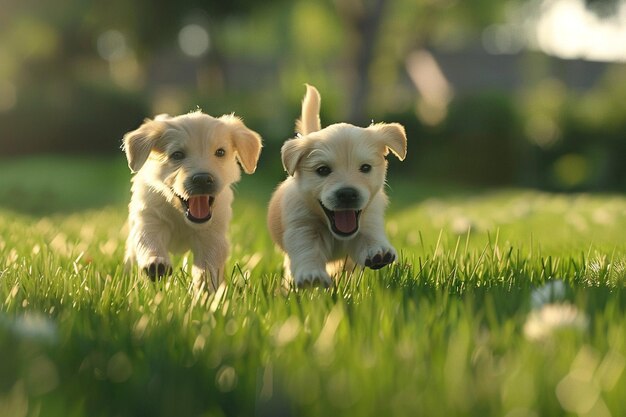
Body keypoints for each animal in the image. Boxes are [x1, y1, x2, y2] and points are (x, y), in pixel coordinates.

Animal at [122, 109, 260, 290]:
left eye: (220, 152)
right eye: (177, 155)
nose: (202, 179)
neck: (181, 215)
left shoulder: (212, 235)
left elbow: (209, 264)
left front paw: (205, 287)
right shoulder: (150, 218)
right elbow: (149, 240)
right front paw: (156, 263)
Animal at [266, 83, 404, 286]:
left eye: (365, 167)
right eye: (323, 170)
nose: (347, 194)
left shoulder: (369, 220)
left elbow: (368, 236)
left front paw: (378, 251)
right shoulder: (303, 227)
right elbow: (308, 250)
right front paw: (311, 275)